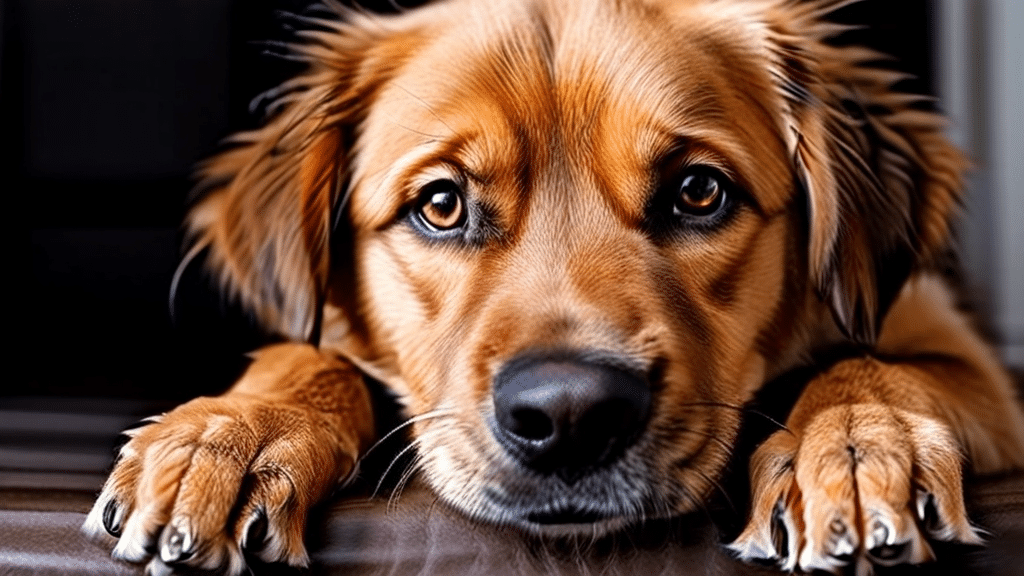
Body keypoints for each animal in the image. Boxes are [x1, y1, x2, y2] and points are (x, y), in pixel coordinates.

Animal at [81, 1, 1024, 573]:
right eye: (441, 204)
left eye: (699, 191)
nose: (571, 415)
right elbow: (308, 355)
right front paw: (231, 436)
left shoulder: (958, 350)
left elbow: (881, 370)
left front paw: (854, 444)